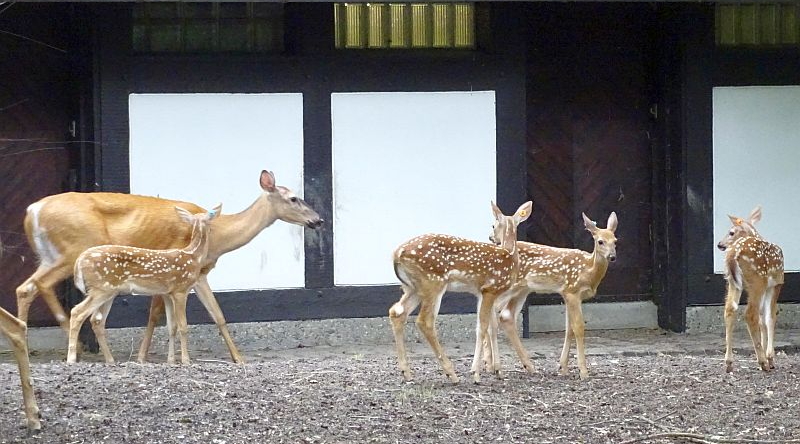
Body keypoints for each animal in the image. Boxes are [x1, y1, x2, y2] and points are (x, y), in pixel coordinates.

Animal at [67, 205, 219, 364]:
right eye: (211, 221)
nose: (213, 231)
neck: (193, 256)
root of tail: (79, 261)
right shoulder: (180, 289)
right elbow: (183, 326)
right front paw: (186, 360)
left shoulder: (167, 293)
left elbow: (172, 327)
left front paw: (171, 361)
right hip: (100, 288)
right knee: (77, 312)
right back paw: (71, 358)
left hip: (108, 291)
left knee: (97, 321)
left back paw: (110, 360)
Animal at [390, 203, 532, 384]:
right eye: (493, 225)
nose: (491, 237)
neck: (510, 255)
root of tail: (397, 254)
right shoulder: (490, 289)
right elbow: (482, 327)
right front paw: (476, 373)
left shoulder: (481, 293)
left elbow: (492, 327)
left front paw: (498, 371)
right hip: (433, 282)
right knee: (424, 321)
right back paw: (451, 373)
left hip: (413, 287)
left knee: (397, 312)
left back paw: (406, 372)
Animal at [482, 213, 620, 380]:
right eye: (600, 241)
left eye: (615, 241)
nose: (612, 256)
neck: (588, 271)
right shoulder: (572, 291)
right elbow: (579, 327)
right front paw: (583, 371)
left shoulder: (570, 295)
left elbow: (569, 329)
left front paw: (563, 367)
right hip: (509, 287)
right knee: (493, 311)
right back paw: (495, 366)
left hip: (522, 289)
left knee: (506, 316)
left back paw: (522, 366)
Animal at [716, 206, 784, 372]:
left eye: (731, 232)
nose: (719, 244)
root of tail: (733, 253)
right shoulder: (776, 284)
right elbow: (770, 317)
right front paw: (770, 358)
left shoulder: (767, 287)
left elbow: (763, 320)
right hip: (757, 280)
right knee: (750, 314)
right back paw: (763, 362)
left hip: (732, 282)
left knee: (729, 309)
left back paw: (729, 362)